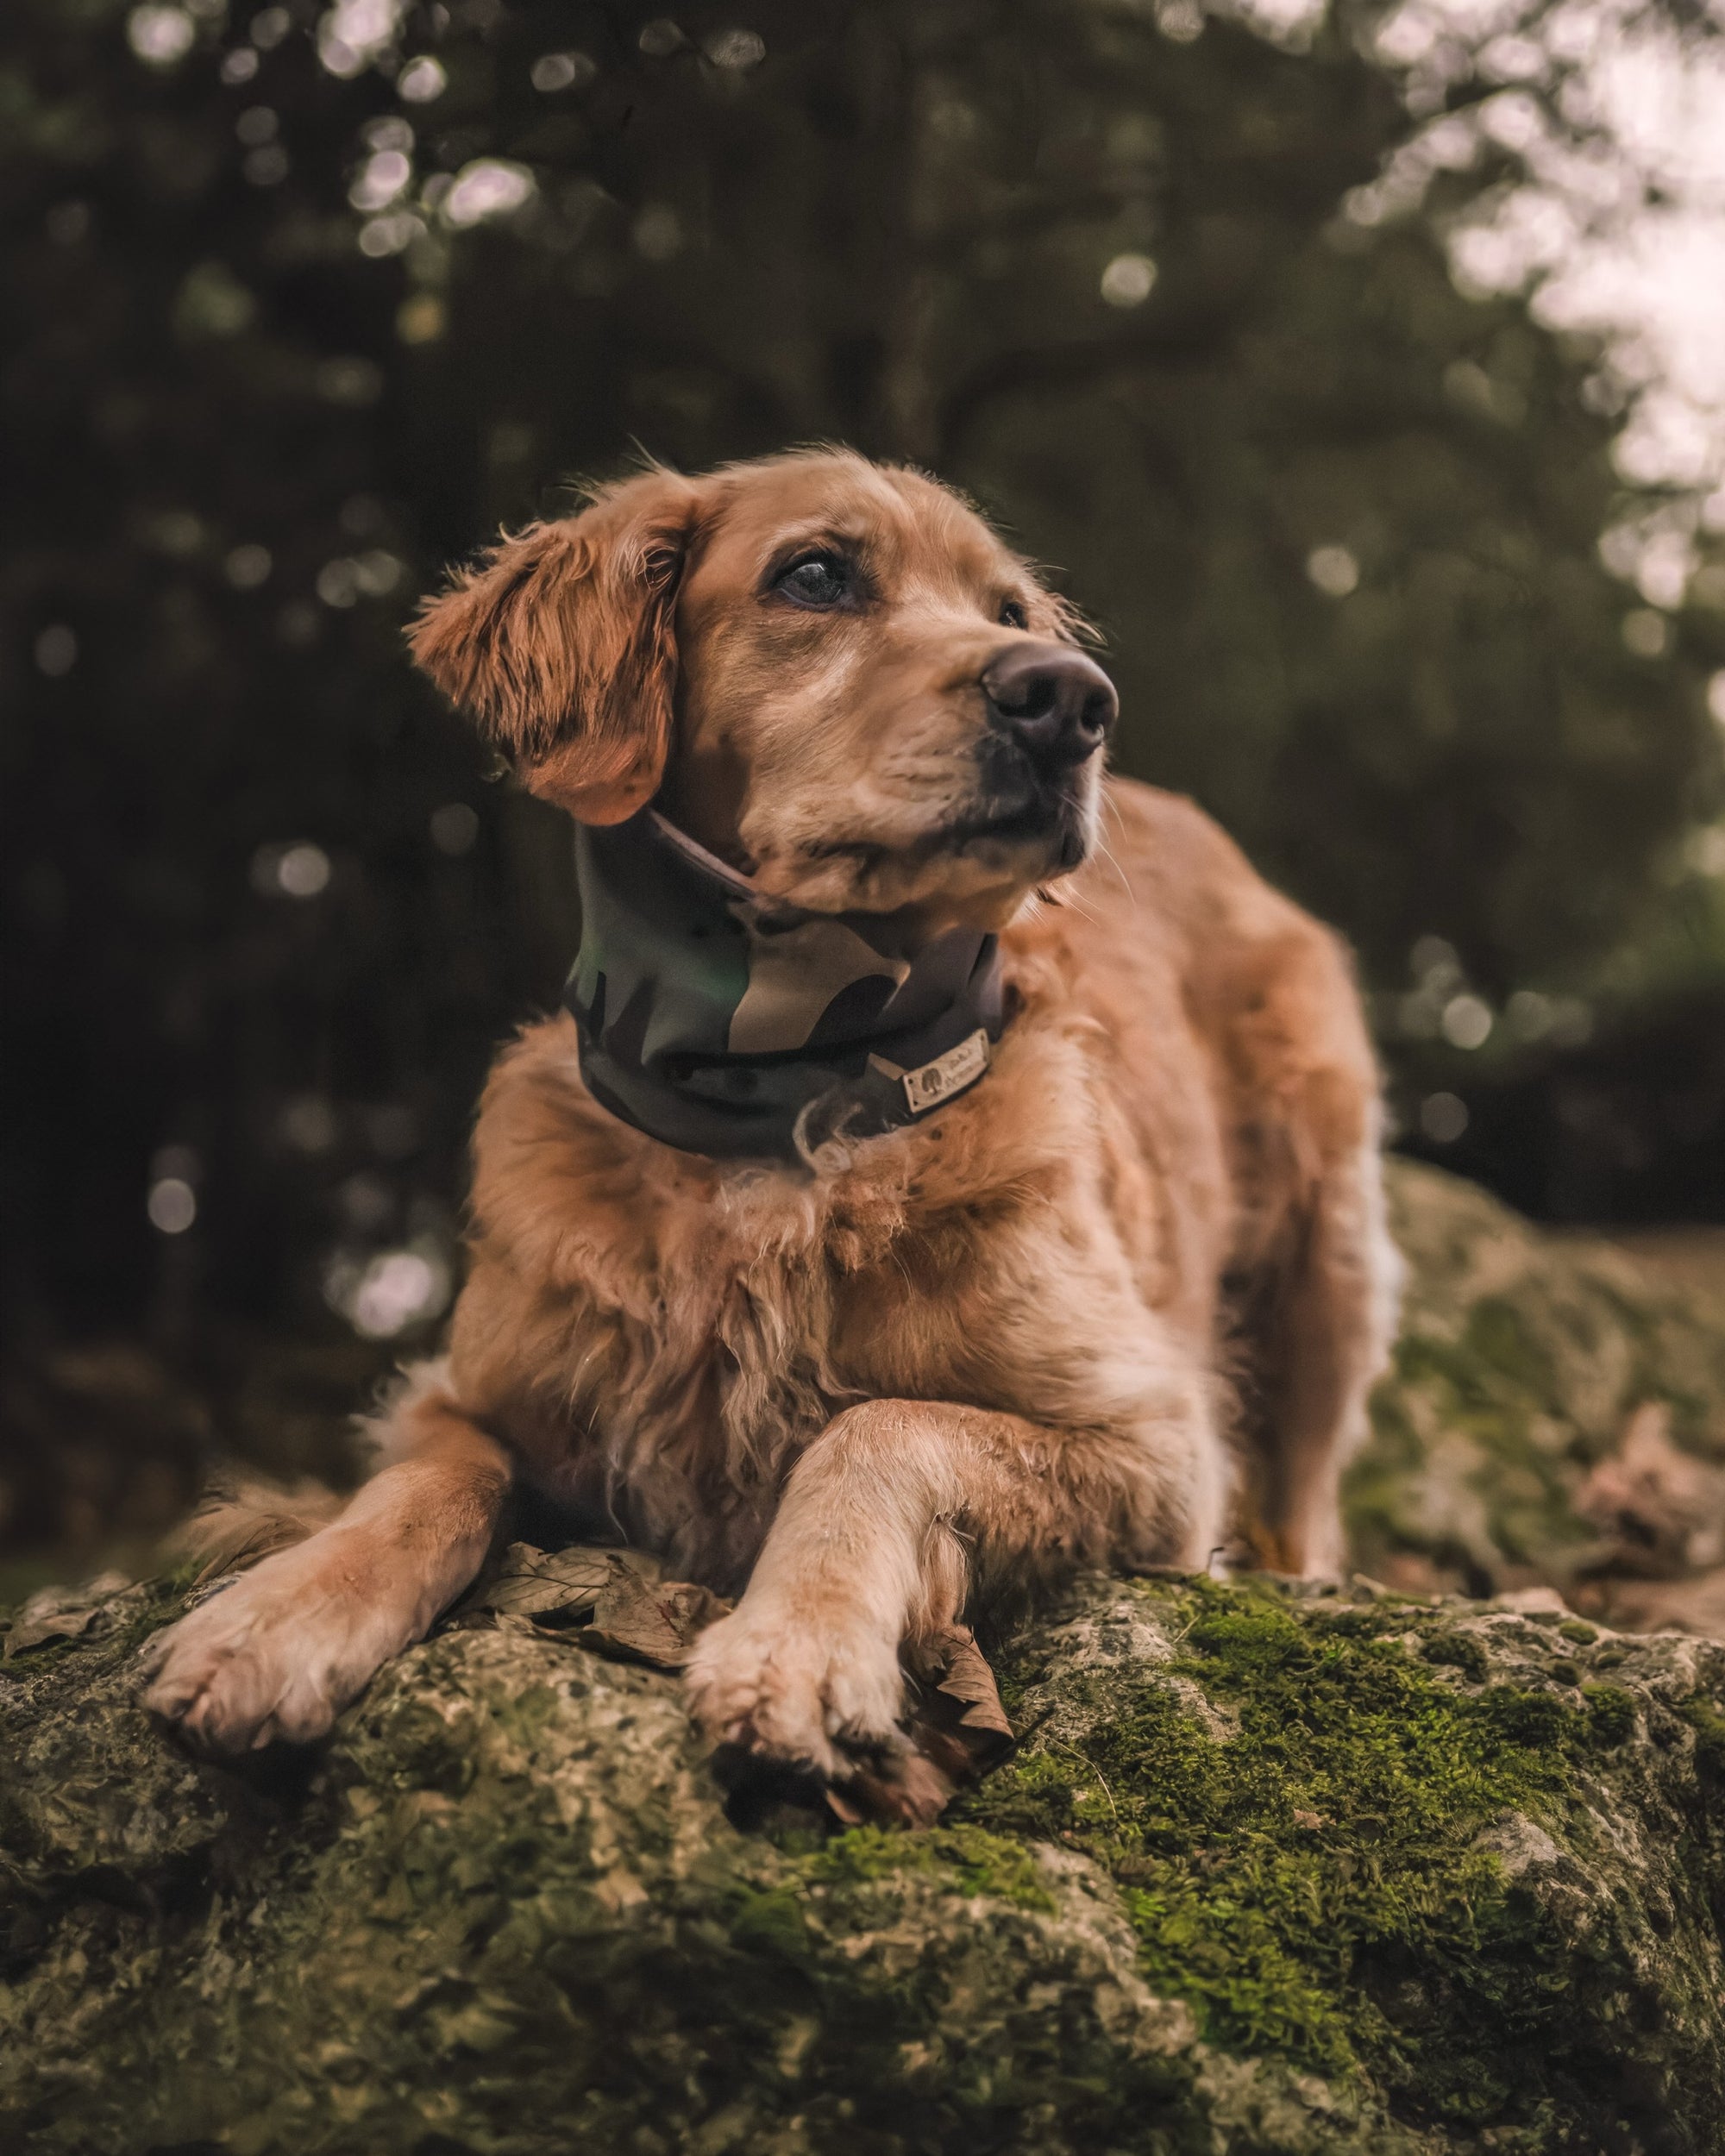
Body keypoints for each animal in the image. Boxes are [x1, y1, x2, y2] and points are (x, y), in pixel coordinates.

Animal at [141, 442, 1397, 1785]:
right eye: (815, 574)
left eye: (1009, 611)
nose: (1071, 702)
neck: (782, 1088)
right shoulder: (469, 1392)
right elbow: (424, 1483)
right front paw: (276, 1615)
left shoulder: (1152, 1441)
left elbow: (877, 1426)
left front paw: (795, 1643)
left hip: (1325, 1242)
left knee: (1306, 1497)